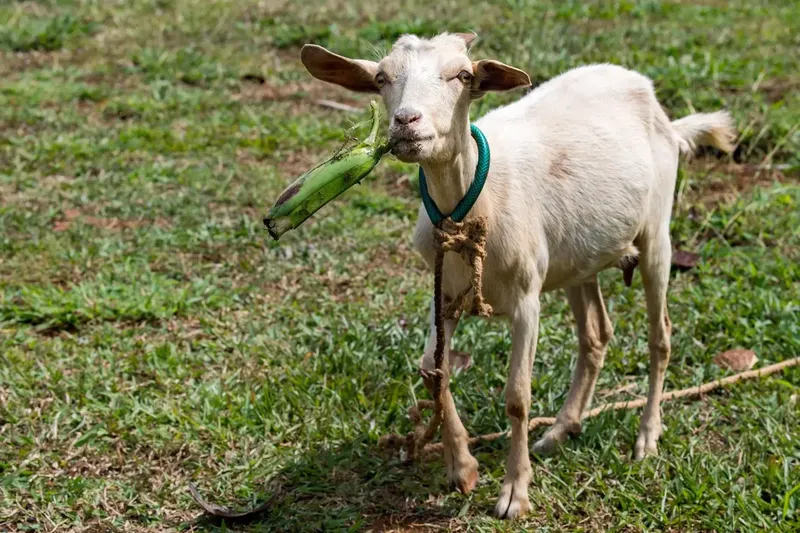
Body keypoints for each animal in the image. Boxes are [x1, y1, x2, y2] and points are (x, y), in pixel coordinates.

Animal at [301, 32, 735, 519]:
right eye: (381, 78)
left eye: (463, 75)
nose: (406, 121)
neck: (474, 201)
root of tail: (664, 113)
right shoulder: (444, 295)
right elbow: (432, 371)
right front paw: (463, 468)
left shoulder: (527, 298)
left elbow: (517, 398)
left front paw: (514, 493)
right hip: (577, 258)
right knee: (596, 334)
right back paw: (562, 430)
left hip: (656, 230)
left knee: (660, 334)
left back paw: (646, 437)